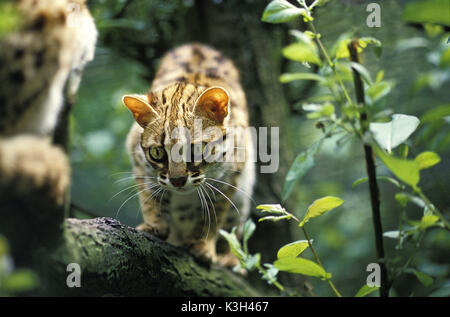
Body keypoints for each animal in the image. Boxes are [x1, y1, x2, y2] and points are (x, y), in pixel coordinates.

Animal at [123, 42, 255, 264]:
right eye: (157, 152)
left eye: (195, 149)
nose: (177, 181)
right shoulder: (139, 161)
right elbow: (149, 198)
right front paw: (154, 225)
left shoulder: (231, 176)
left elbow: (214, 215)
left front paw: (203, 245)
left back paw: (228, 258)